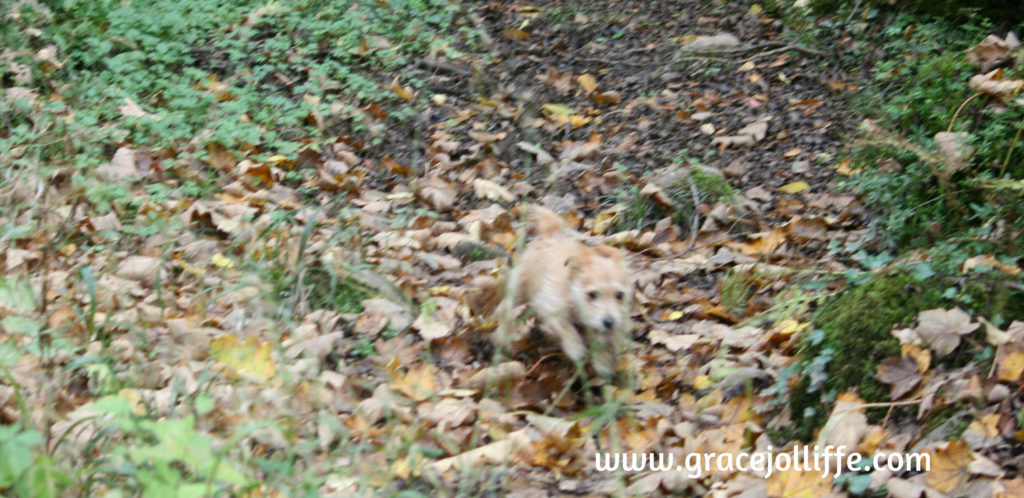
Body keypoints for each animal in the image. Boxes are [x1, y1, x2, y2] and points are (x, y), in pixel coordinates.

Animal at [497, 204, 630, 377]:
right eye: (592, 294)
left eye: (619, 295)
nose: (609, 322)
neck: (571, 291)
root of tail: (552, 233)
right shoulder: (549, 306)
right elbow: (565, 326)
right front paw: (575, 347)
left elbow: (604, 341)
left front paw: (603, 361)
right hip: (519, 292)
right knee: (506, 311)